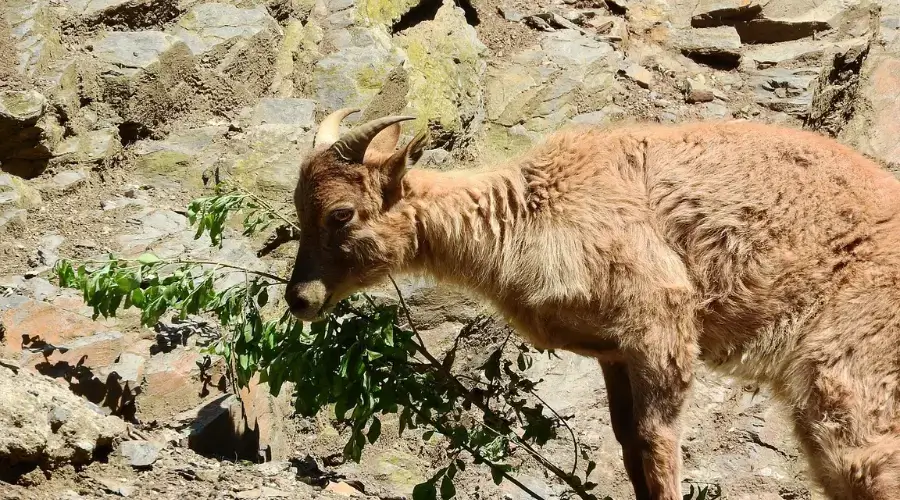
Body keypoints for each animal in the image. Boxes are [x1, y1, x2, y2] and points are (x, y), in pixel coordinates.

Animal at [284, 110, 900, 500]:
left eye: (341, 213)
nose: (299, 298)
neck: (527, 214)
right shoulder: (614, 353)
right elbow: (628, 448)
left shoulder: (661, 321)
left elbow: (657, 441)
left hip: (848, 387)